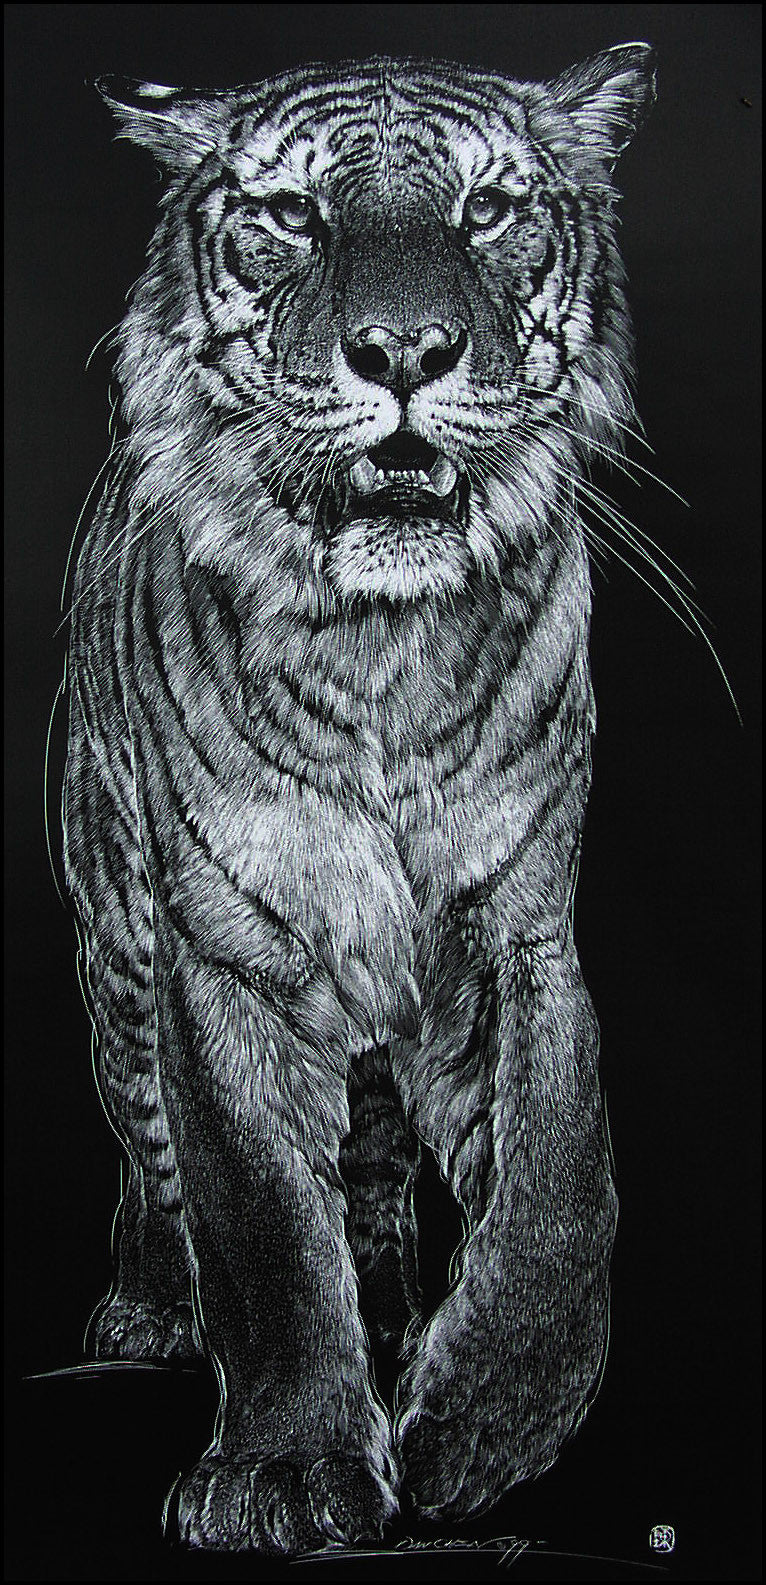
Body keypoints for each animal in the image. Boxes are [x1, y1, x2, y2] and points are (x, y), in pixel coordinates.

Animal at [63, 46, 656, 1553]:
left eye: (488, 210)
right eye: (290, 215)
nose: (401, 353)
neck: (380, 646)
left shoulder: (519, 938)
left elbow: (558, 1187)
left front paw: (482, 1425)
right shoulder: (223, 956)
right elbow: (263, 1216)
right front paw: (286, 1468)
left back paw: (394, 1315)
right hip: (117, 946)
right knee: (152, 1152)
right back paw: (150, 1305)